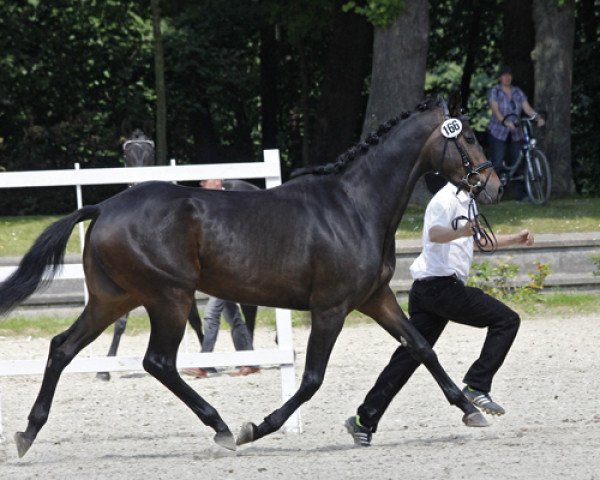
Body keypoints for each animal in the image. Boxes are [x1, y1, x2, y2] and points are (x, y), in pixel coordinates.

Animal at [0, 94, 502, 458]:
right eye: (469, 137)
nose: (494, 186)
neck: (355, 207)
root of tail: (103, 207)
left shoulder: (374, 298)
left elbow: (420, 347)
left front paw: (471, 410)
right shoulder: (331, 308)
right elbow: (312, 379)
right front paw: (255, 429)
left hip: (113, 298)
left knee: (62, 347)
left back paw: (27, 434)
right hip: (169, 297)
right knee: (158, 362)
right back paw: (222, 428)